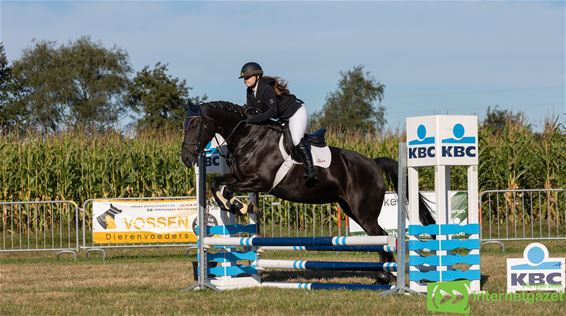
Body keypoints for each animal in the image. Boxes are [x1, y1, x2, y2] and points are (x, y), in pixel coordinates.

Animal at [182, 101, 434, 284]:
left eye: (195, 126)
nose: (185, 159)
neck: (249, 138)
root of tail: (373, 162)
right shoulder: (240, 178)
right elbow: (216, 183)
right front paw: (233, 205)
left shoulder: (259, 182)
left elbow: (226, 188)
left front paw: (239, 206)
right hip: (350, 209)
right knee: (379, 236)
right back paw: (383, 277)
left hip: (364, 212)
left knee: (382, 236)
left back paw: (386, 276)